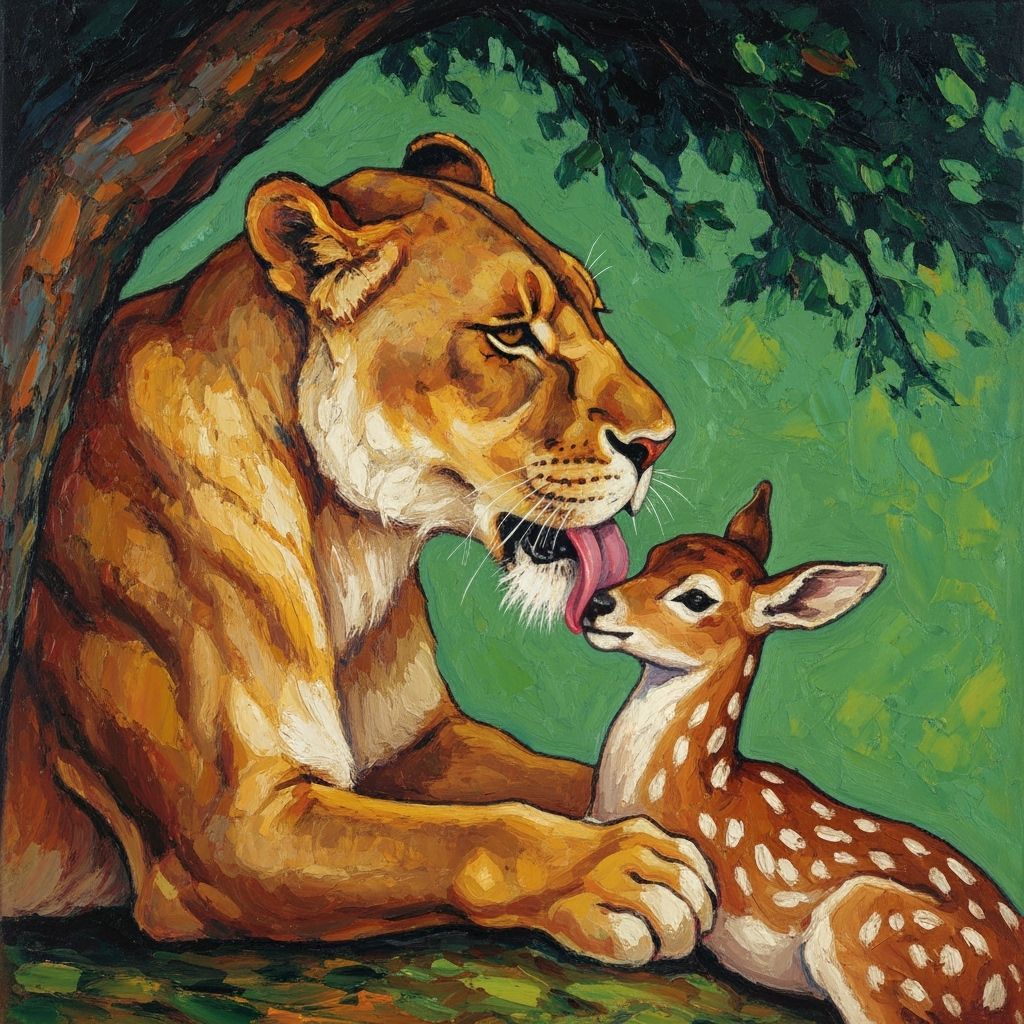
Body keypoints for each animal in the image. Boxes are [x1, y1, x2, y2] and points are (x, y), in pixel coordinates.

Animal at [2, 133, 715, 966]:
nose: (660, 440)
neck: (350, 539)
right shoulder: (233, 830)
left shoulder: (423, 744)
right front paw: (622, 870)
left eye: (595, 312)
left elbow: (577, 780)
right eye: (511, 334)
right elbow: (477, 836)